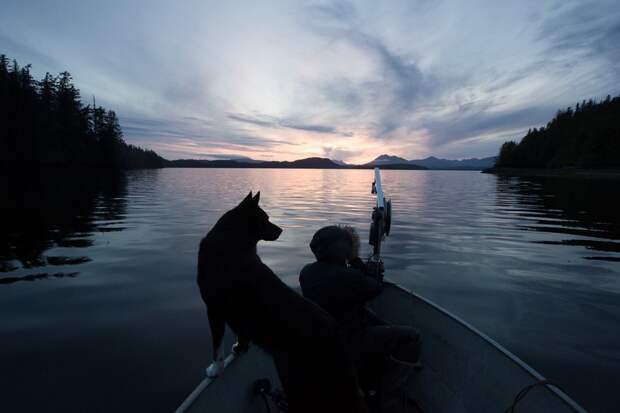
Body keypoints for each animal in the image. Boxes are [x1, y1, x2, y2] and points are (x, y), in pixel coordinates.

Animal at [196, 192, 366, 410]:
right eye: (265, 219)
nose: (280, 230)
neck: (231, 243)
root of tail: (338, 333)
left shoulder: (214, 309)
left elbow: (217, 346)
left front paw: (215, 368)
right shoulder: (237, 315)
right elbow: (241, 335)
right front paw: (240, 348)